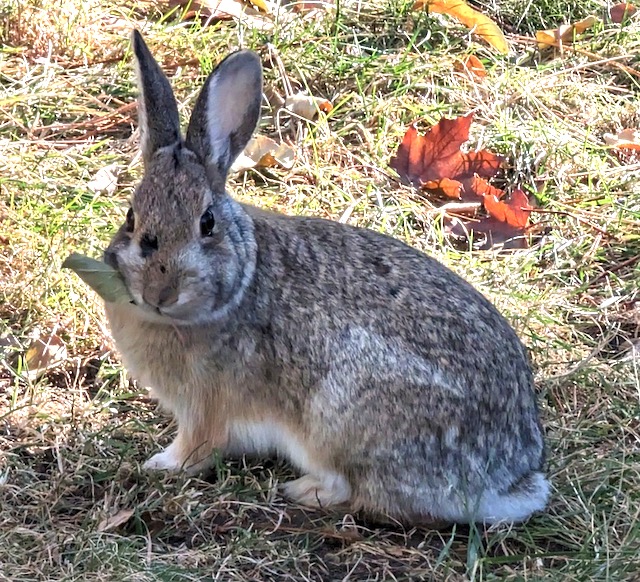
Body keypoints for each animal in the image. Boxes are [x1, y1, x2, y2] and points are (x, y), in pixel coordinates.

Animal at [102, 30, 548, 524]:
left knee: (360, 492)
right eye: (131, 219)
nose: (159, 293)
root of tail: (505, 481)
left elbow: (197, 448)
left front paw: (162, 464)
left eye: (207, 223)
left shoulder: (205, 407)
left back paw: (305, 490)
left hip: (339, 419)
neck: (239, 283)